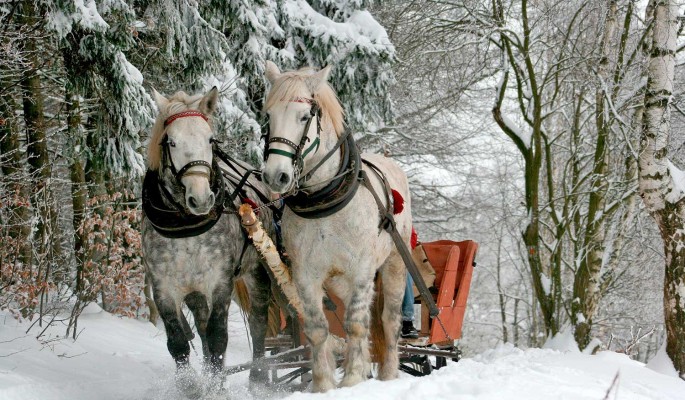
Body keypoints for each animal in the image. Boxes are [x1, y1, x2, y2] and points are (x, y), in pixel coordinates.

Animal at [142, 87, 272, 396]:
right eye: (171, 142)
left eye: (210, 139)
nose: (201, 199)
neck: (186, 227)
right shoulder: (164, 288)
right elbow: (178, 341)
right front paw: (192, 387)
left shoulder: (220, 282)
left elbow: (218, 337)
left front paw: (216, 388)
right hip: (195, 292)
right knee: (200, 327)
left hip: (256, 272)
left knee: (258, 321)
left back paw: (258, 378)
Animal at [260, 61, 412, 390]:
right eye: (269, 116)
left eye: (304, 116)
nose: (276, 176)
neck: (324, 201)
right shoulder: (306, 274)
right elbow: (318, 328)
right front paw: (323, 385)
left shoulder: (362, 270)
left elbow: (355, 324)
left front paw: (353, 378)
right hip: (339, 281)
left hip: (394, 263)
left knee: (388, 320)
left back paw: (388, 373)